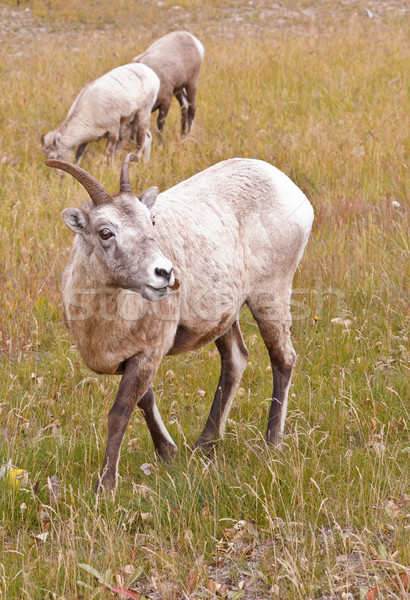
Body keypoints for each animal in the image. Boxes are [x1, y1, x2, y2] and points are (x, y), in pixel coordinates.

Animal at [45, 151, 314, 492]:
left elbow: (120, 414)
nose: (165, 273)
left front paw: (105, 487)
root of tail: (287, 186)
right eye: (105, 232)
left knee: (283, 359)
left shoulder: (149, 353)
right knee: (235, 360)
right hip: (225, 316)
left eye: (151, 220)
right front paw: (168, 454)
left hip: (270, 296)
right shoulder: (136, 357)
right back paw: (205, 444)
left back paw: (271, 443)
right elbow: (145, 400)